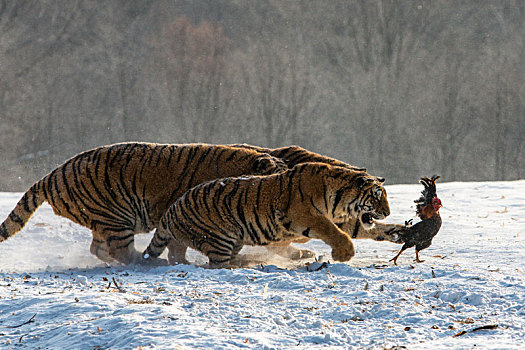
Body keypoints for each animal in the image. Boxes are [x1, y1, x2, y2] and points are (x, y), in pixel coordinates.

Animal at [0, 142, 286, 266]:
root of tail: (50, 175)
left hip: (104, 222)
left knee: (99, 248)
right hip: (116, 217)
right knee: (122, 252)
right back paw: (147, 262)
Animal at [143, 162, 388, 268]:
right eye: (377, 197)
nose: (387, 212)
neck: (338, 201)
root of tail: (172, 209)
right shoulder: (306, 215)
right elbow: (333, 232)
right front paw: (344, 254)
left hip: (229, 239)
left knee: (177, 253)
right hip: (220, 237)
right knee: (215, 264)